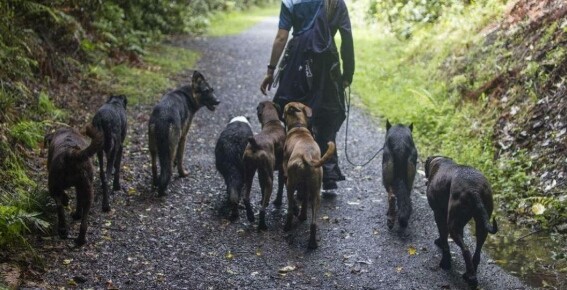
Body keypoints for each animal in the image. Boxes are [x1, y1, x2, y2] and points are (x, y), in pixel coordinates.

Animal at [243, 101, 286, 230]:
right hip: (270, 180)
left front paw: (264, 201)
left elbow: (262, 191)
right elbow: (281, 187)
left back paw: (251, 216)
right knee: (262, 210)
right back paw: (262, 225)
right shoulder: (282, 170)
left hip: (249, 175)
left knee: (246, 198)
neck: (272, 122)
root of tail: (255, 144)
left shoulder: (261, 174)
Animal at [282, 102, 336, 249]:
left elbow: (294, 204)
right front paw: (302, 216)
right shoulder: (306, 187)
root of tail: (306, 154)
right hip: (316, 192)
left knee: (290, 209)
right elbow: (305, 202)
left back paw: (287, 226)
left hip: (290, 183)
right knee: (313, 222)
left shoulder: (286, 175)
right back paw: (312, 243)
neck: (299, 127)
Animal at [424, 155, 500, 286]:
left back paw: (467, 276)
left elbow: (444, 237)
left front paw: (445, 259)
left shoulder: (438, 214)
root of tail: (473, 189)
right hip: (480, 225)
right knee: (477, 251)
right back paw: (470, 273)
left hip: (453, 226)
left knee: (466, 250)